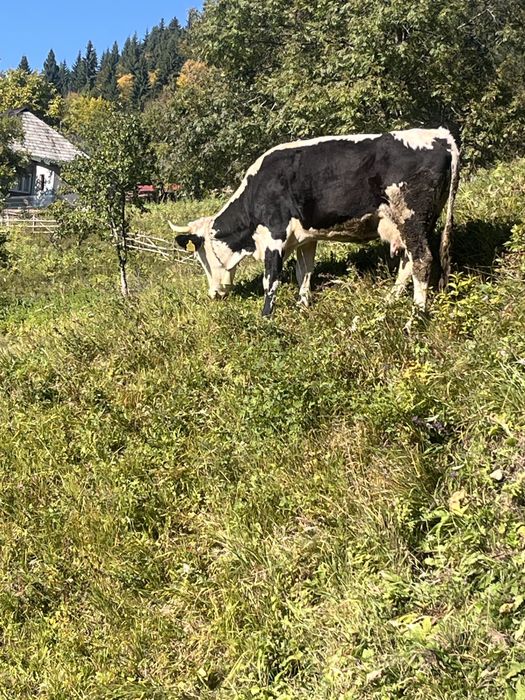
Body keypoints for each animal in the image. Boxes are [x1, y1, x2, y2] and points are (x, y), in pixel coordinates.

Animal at [170, 128, 460, 317]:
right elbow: (304, 273)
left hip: (411, 217)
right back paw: (389, 302)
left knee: (422, 259)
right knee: (409, 261)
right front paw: (302, 305)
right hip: (414, 222)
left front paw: (266, 317)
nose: (213, 294)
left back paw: (416, 315)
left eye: (201, 257)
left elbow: (270, 280)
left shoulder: (274, 237)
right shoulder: (304, 239)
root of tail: (440, 134)